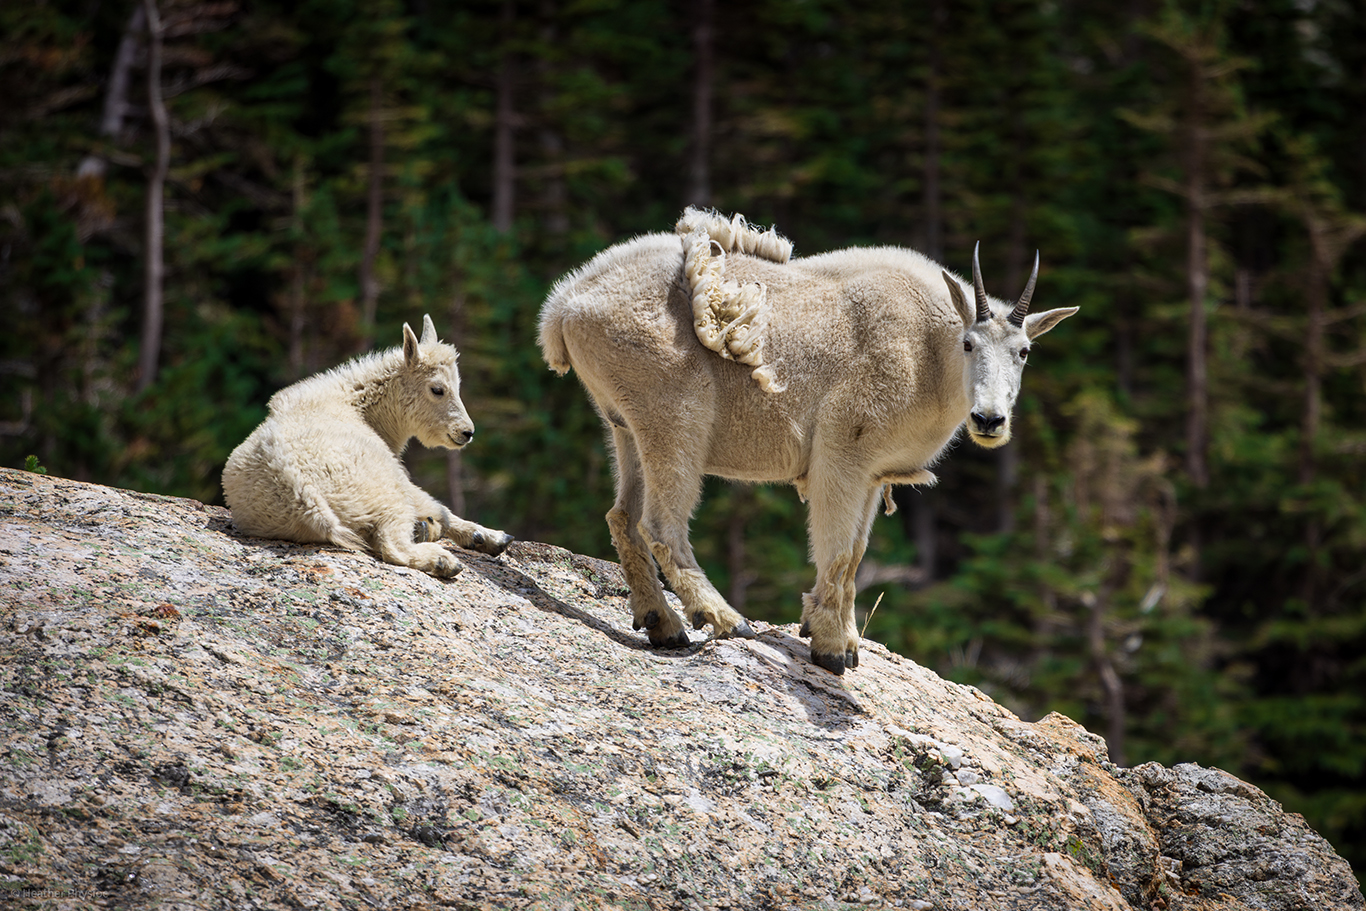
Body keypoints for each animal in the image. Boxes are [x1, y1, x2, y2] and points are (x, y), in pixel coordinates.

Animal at [223, 315, 512, 578]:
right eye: (437, 389)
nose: (466, 432)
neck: (360, 405)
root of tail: (296, 486)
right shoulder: (399, 476)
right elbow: (441, 509)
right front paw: (490, 537)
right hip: (380, 490)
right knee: (394, 545)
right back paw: (442, 560)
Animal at [539, 209, 1077, 674]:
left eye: (1024, 352)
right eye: (969, 344)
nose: (990, 419)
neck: (929, 355)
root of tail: (564, 305)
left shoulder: (874, 474)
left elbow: (857, 554)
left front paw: (846, 640)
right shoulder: (843, 451)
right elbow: (837, 550)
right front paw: (831, 649)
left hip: (625, 425)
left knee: (622, 516)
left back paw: (662, 624)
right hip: (674, 415)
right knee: (660, 523)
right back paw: (725, 619)